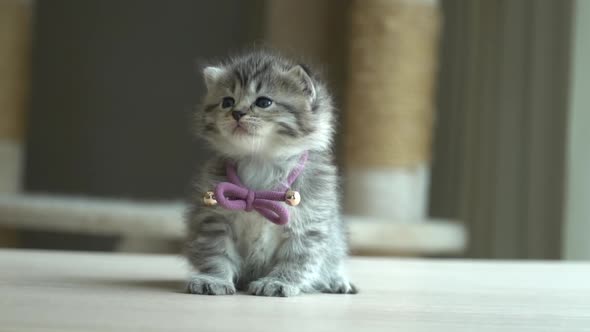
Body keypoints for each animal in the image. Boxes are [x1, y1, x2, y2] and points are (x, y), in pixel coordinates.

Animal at [185, 50, 356, 296]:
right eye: (227, 102)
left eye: (263, 102)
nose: (236, 113)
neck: (260, 161)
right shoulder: (214, 218)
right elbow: (216, 253)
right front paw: (214, 278)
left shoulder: (308, 222)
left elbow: (297, 258)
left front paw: (278, 282)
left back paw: (335, 280)